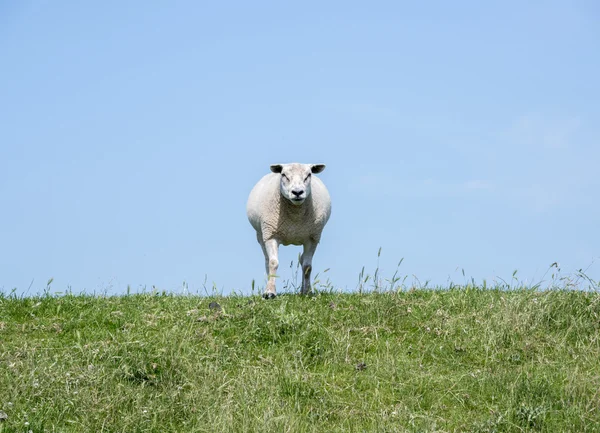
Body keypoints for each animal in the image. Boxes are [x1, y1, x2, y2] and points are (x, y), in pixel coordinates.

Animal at [247, 162, 332, 296]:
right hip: (261, 235)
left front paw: (307, 292)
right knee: (267, 261)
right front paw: (270, 292)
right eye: (284, 175)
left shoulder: (312, 238)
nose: (297, 192)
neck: (294, 218)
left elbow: (307, 266)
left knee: (302, 261)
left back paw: (303, 290)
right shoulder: (271, 234)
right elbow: (273, 263)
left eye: (309, 175)